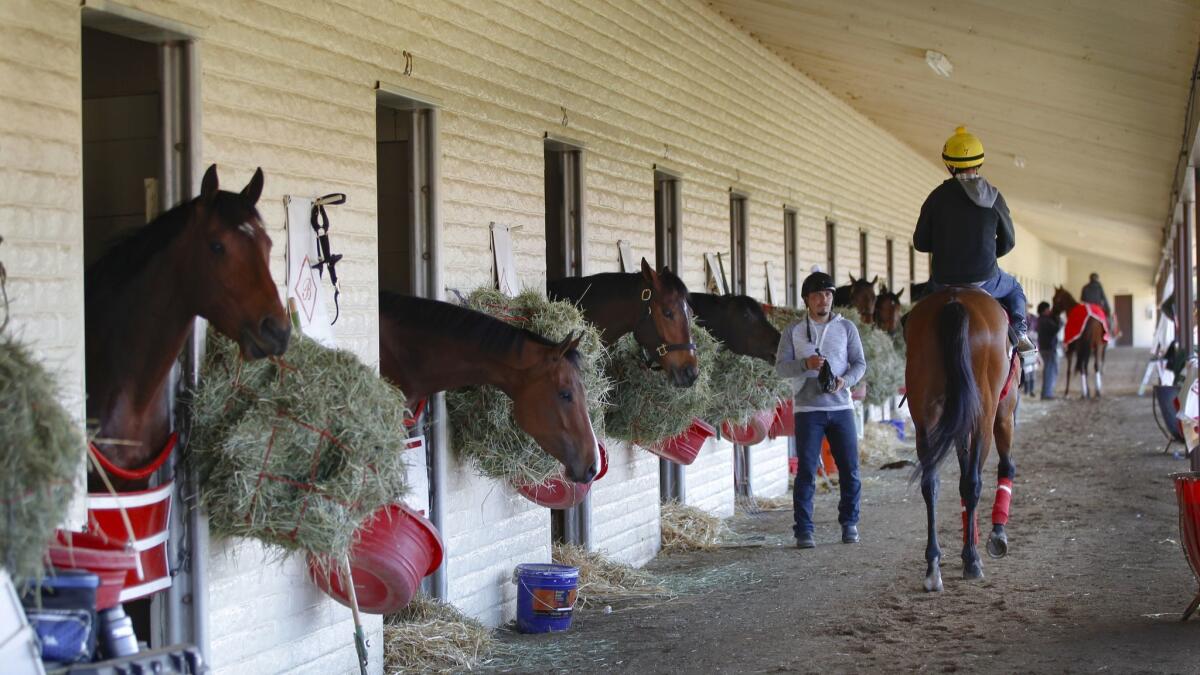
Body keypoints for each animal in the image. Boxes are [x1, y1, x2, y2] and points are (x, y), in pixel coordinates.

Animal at [902, 285, 1017, 590]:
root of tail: (954, 301)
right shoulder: (1003, 412)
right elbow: (1004, 466)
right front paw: (995, 536)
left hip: (925, 417)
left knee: (931, 483)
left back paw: (933, 567)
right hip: (985, 414)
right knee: (973, 482)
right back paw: (972, 560)